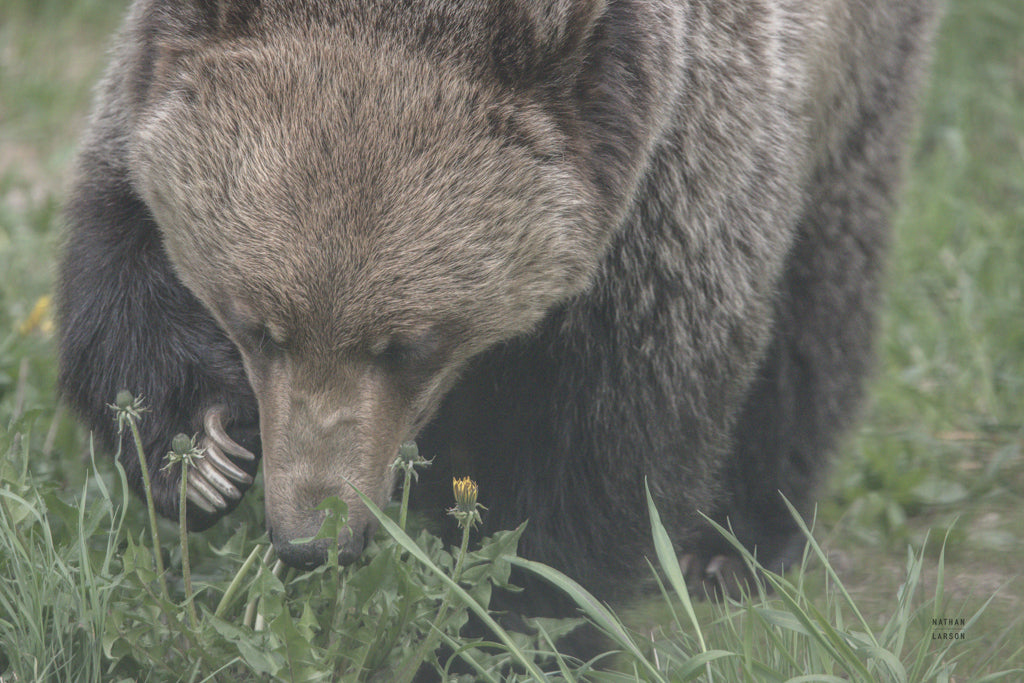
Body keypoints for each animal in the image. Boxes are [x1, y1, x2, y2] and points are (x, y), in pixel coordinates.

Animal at [56, 0, 937, 610]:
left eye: (409, 342)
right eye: (254, 322)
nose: (313, 536)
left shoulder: (682, 164)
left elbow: (607, 429)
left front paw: (523, 611)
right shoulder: (153, 92)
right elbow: (120, 252)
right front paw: (199, 455)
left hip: (857, 85)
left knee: (814, 311)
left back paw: (736, 542)